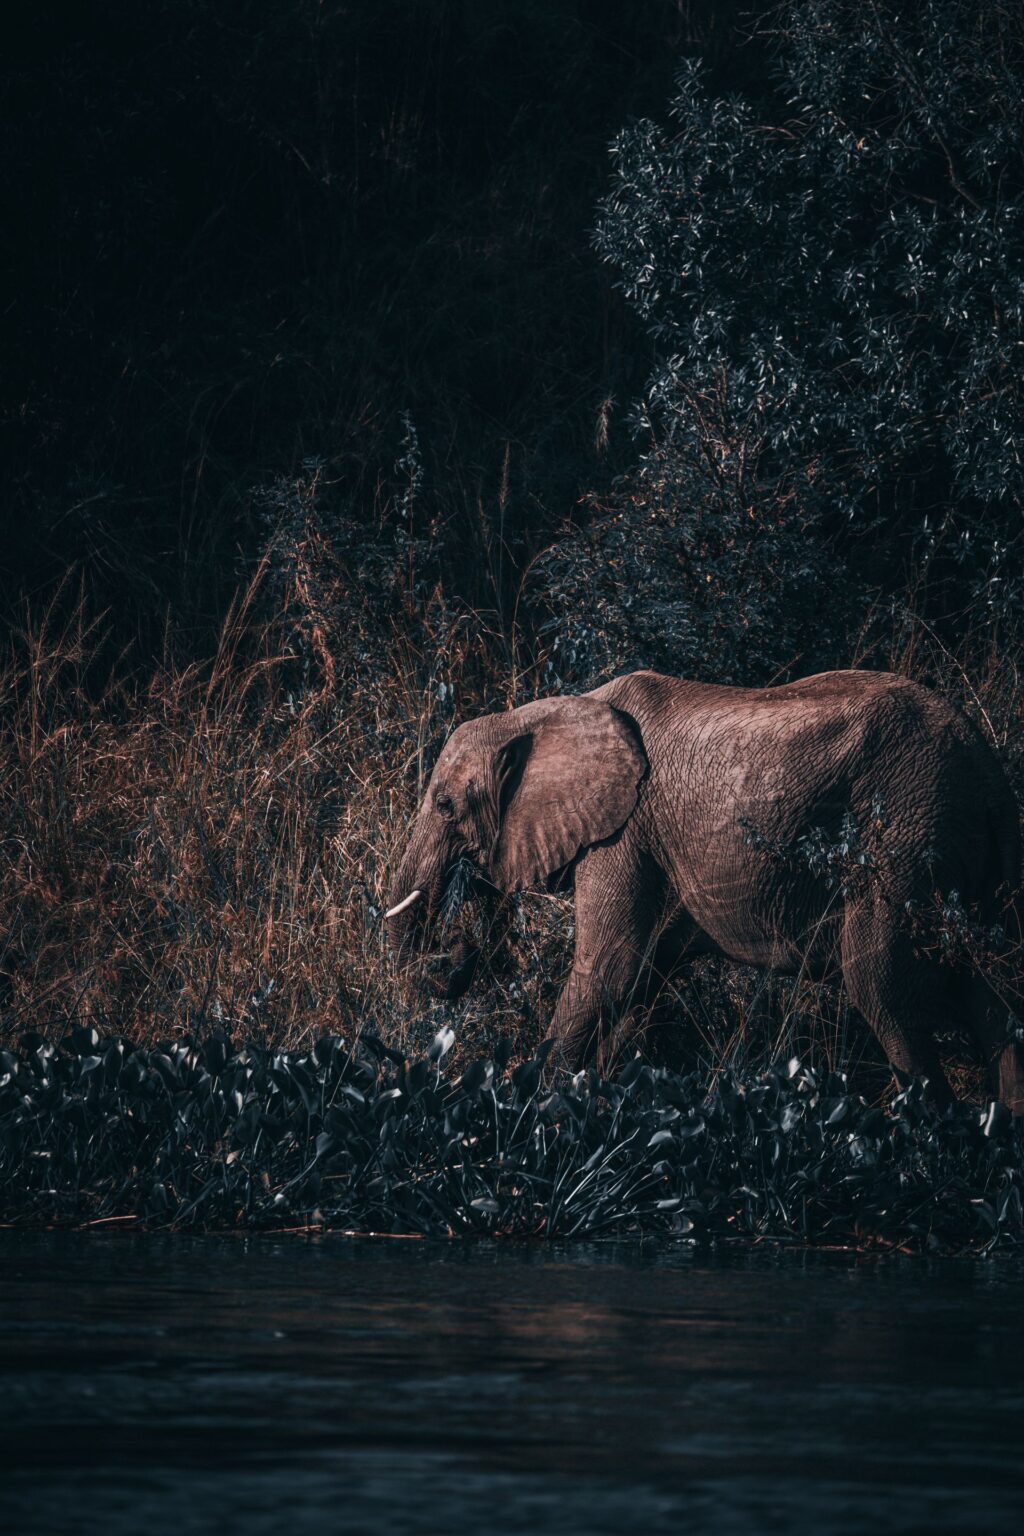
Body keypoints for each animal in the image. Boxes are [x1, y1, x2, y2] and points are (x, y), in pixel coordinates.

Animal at [386, 669, 1024, 1111]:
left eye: (445, 806)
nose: (451, 961)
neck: (543, 713)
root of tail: (991, 773)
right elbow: (640, 980)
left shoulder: (624, 834)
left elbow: (608, 967)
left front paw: (531, 1101)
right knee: (988, 998)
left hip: (903, 846)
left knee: (883, 989)